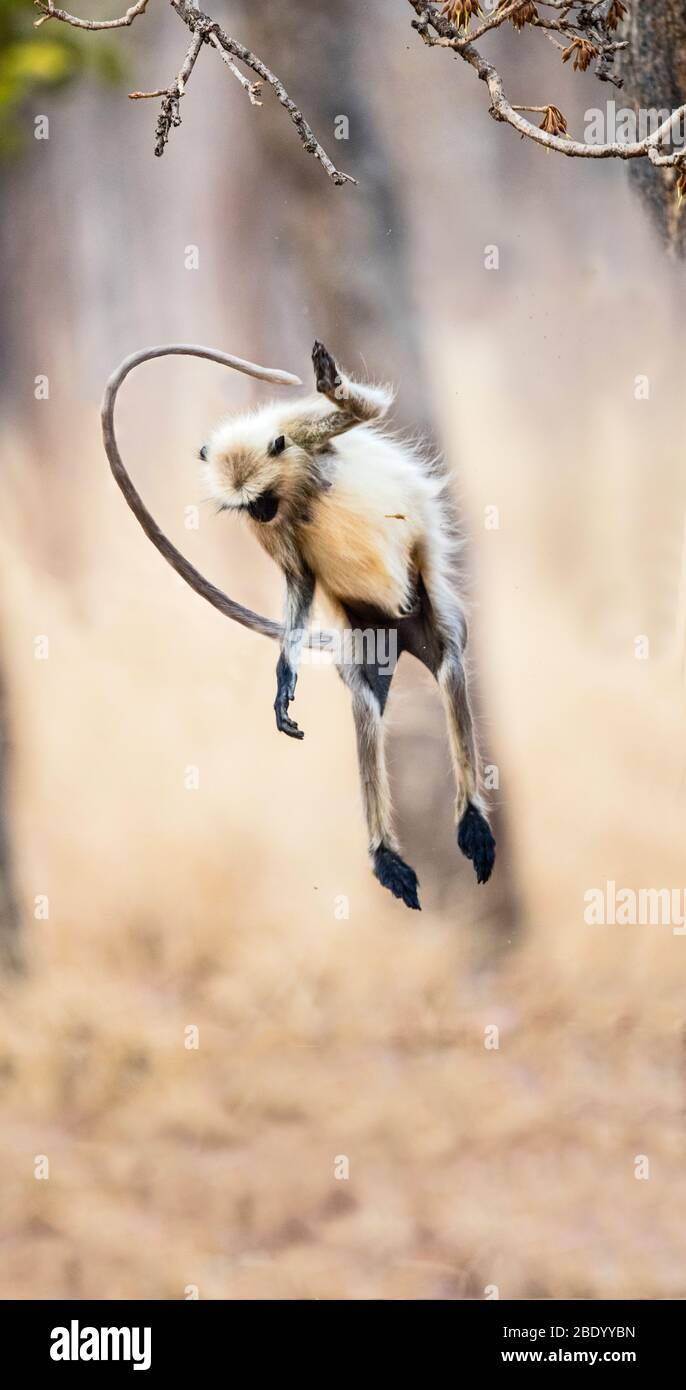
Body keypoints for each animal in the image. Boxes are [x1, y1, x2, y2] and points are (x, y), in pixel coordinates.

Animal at [198, 343, 494, 911]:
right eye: (249, 504)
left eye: (262, 497)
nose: (263, 513)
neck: (296, 482)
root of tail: (401, 631)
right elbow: (298, 579)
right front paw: (284, 677)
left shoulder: (303, 430)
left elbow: (368, 411)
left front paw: (331, 382)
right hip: (368, 633)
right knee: (366, 700)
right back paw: (386, 856)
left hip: (429, 611)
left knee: (449, 667)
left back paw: (471, 817)